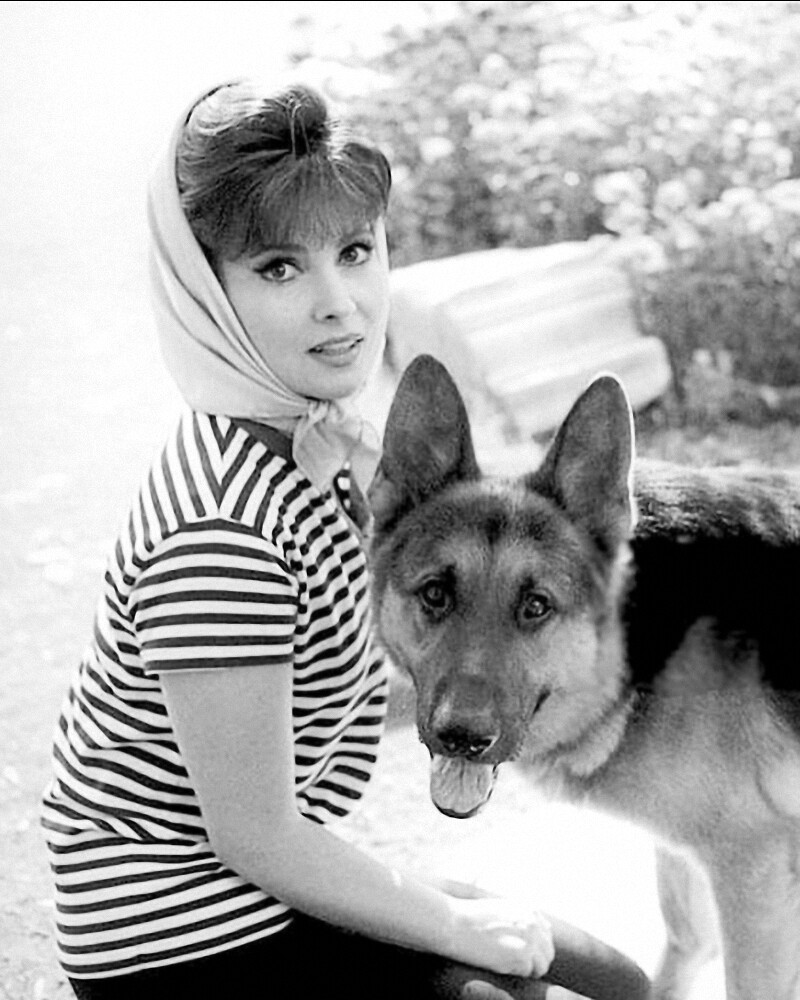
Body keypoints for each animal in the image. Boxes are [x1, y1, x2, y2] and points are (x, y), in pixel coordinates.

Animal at [368, 355, 800, 1000]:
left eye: (536, 607)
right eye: (436, 594)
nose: (462, 739)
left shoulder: (751, 868)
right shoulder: (701, 858)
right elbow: (684, 947)